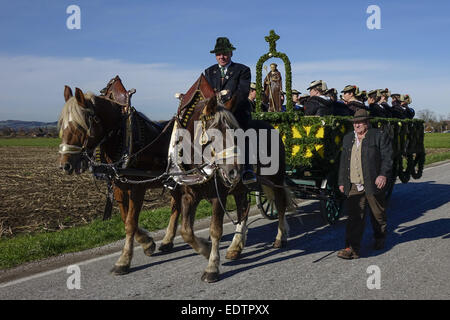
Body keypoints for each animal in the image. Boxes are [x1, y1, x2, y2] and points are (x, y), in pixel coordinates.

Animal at [169, 75, 292, 282]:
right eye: (212, 135)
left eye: (236, 132)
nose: (235, 170)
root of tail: (272, 127)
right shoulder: (189, 195)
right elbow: (186, 231)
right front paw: (205, 249)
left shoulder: (218, 197)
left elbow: (215, 230)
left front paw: (212, 266)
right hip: (241, 188)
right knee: (244, 210)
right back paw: (235, 246)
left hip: (276, 180)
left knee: (281, 205)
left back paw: (280, 237)